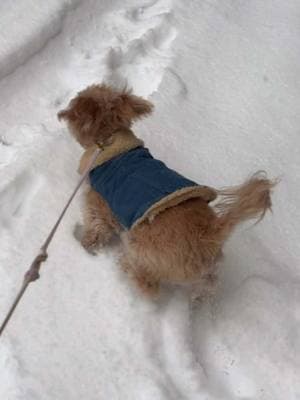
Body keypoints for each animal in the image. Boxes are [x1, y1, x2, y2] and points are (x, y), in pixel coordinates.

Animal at [57, 83, 276, 296]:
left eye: (75, 103)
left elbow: (97, 228)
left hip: (141, 249)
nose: (61, 113)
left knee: (147, 285)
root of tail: (209, 234)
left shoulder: (100, 205)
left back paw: (126, 269)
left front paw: (86, 245)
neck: (110, 141)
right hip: (206, 278)